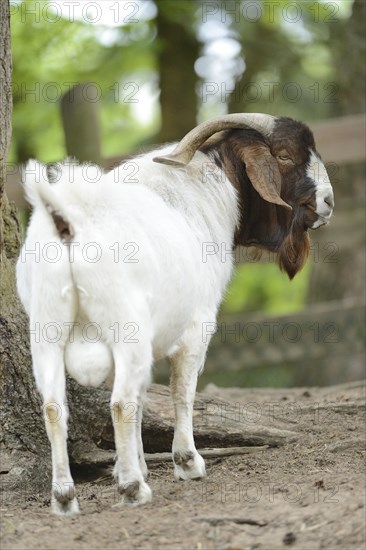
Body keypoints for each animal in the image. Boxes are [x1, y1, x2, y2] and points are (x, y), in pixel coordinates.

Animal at [17, 114, 334, 516]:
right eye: (284, 155)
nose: (328, 201)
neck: (200, 196)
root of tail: (67, 216)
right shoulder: (197, 326)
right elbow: (181, 391)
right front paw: (186, 462)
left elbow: (143, 399)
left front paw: (135, 465)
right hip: (126, 328)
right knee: (119, 403)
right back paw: (133, 490)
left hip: (46, 331)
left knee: (55, 406)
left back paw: (64, 498)